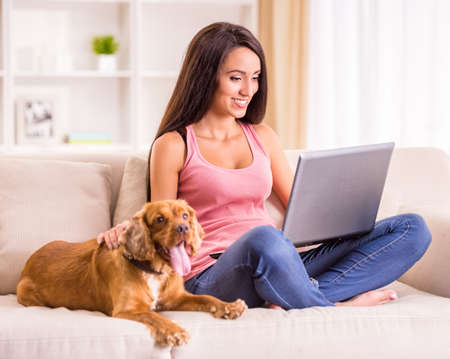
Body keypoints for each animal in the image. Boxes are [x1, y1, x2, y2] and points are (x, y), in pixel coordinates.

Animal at [16, 201, 246, 348]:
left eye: (185, 215)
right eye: (160, 219)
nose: (183, 228)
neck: (155, 271)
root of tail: (29, 260)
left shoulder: (176, 299)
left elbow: (206, 298)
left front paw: (229, 306)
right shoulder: (127, 310)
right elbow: (154, 316)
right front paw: (174, 330)